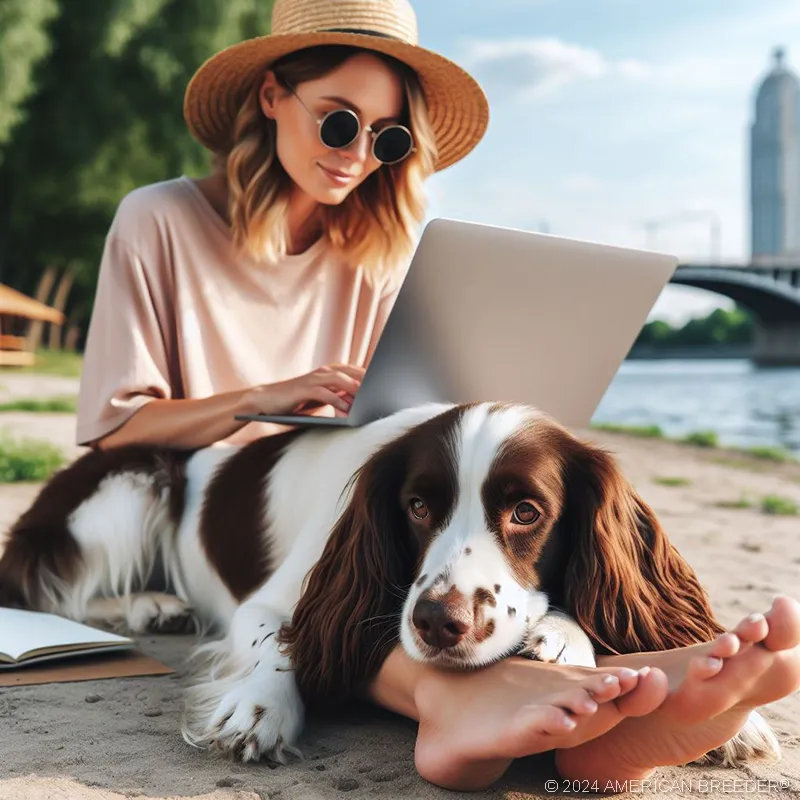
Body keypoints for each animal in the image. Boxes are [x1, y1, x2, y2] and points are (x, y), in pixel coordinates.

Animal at [0, 404, 780, 764]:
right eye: (417, 506)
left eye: (526, 512)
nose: (439, 623)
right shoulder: (274, 600)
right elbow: (282, 641)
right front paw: (258, 709)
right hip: (132, 481)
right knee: (53, 583)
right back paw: (150, 604)